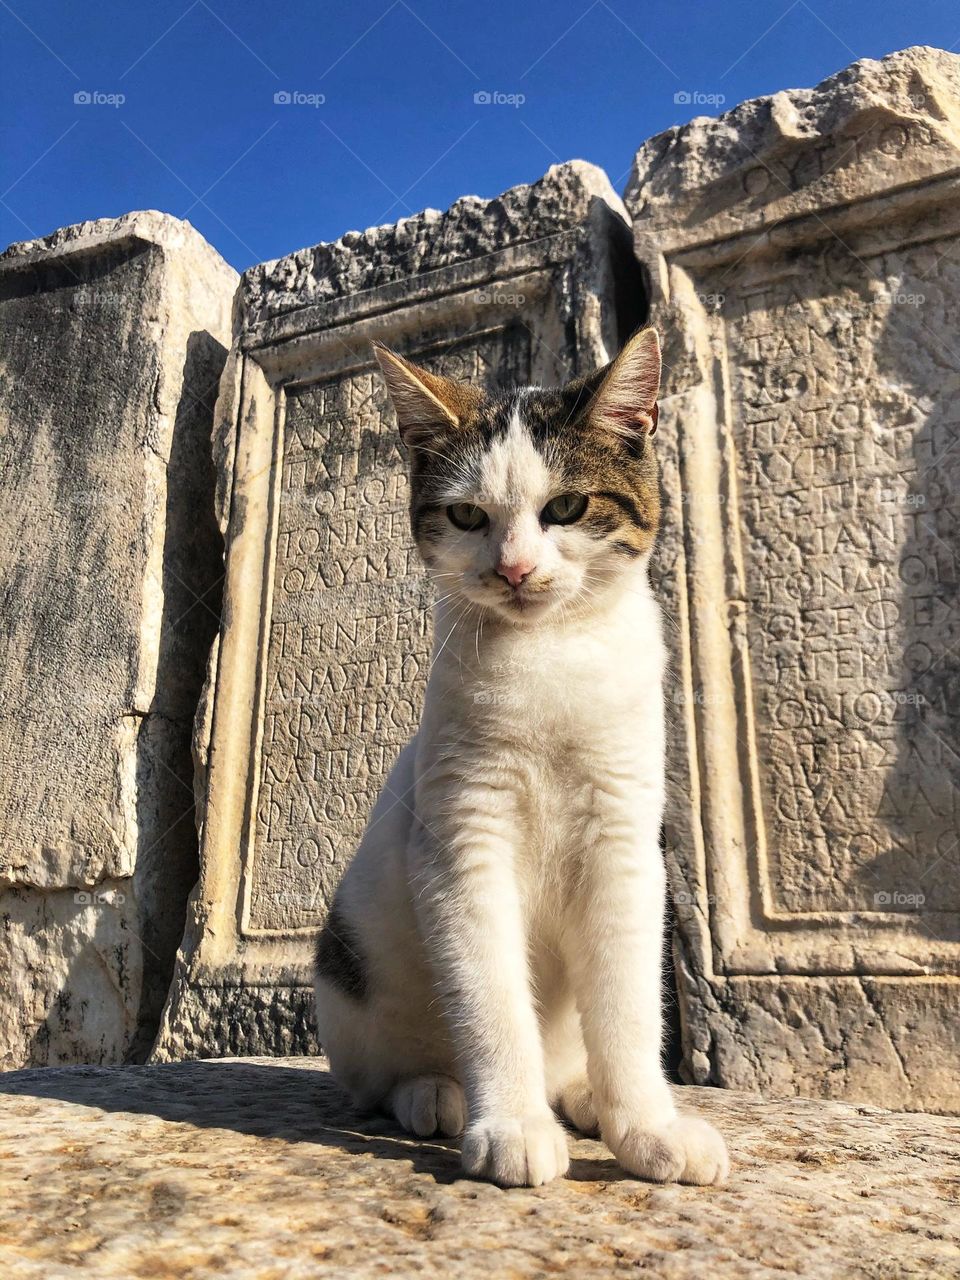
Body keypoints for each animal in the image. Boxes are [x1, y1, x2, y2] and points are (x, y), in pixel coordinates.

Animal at [316, 330, 727, 1187]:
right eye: (468, 516)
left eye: (565, 507)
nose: (512, 568)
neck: (550, 658)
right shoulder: (463, 843)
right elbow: (490, 998)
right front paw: (510, 1124)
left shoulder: (624, 842)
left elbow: (629, 1006)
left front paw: (648, 1128)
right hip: (349, 974)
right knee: (377, 1078)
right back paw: (433, 1095)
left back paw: (584, 1096)